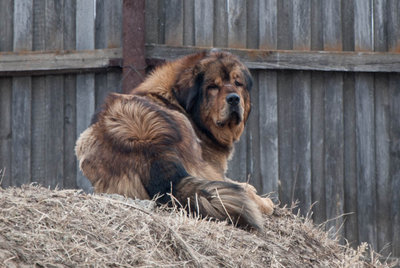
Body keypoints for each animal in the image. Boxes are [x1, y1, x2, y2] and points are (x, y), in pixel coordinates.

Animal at [75, 50, 274, 230]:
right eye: (212, 86)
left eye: (237, 83)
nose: (234, 99)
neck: (174, 98)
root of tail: (148, 144)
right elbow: (238, 184)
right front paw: (261, 198)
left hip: (83, 141)